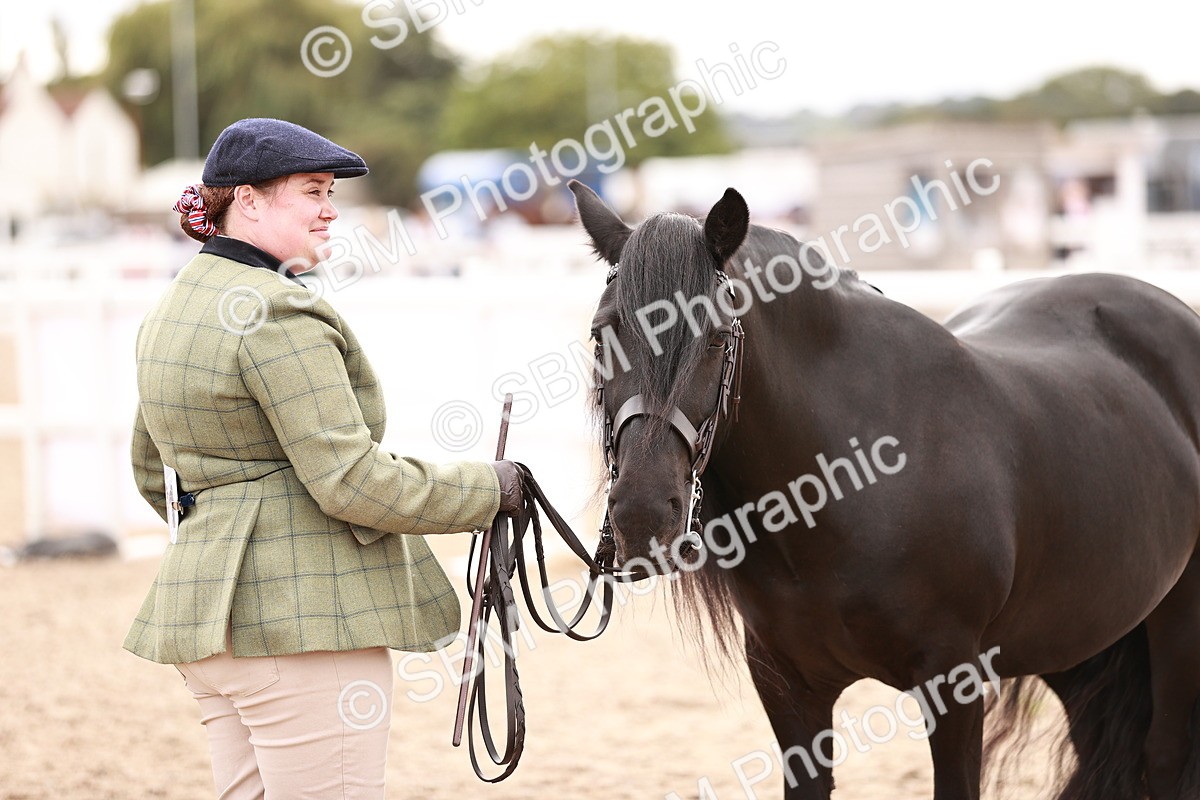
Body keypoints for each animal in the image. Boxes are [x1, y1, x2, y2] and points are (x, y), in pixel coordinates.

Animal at [566, 178, 1200, 800]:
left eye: (719, 338)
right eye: (601, 336)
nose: (643, 515)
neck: (845, 486)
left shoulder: (954, 681)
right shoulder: (787, 686)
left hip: (1174, 626)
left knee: (1167, 759)